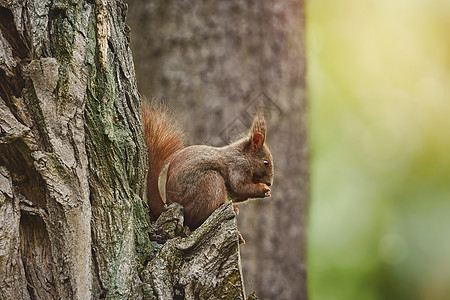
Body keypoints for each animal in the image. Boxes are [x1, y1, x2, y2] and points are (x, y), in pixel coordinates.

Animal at [142, 102, 272, 231]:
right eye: (265, 162)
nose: (270, 183)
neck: (243, 156)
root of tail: (169, 203)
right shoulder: (237, 167)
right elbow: (240, 187)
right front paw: (263, 189)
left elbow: (236, 194)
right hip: (211, 182)